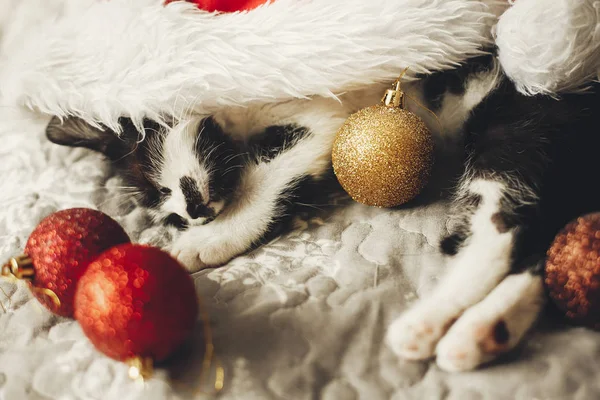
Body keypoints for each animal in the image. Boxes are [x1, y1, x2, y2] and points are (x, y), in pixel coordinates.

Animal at [44, 54, 600, 372]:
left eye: (169, 185)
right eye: (164, 207)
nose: (197, 213)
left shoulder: (325, 115)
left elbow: (270, 177)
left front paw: (215, 237)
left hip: (521, 126)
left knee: (506, 230)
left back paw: (429, 325)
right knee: (542, 246)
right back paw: (481, 334)